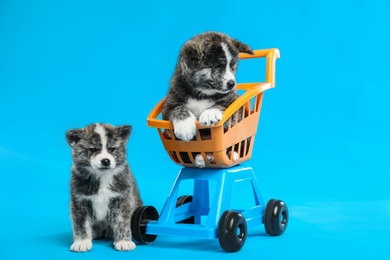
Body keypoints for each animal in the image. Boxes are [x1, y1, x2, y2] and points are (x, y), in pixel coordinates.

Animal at [65, 123, 142, 252]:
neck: (102, 177)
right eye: (93, 149)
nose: (106, 161)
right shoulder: (79, 201)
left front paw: (123, 241)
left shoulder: (122, 200)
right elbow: (81, 224)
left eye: (111, 148)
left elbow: (122, 222)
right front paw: (82, 242)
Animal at [161, 31, 253, 168]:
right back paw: (200, 158)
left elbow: (223, 106)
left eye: (232, 65)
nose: (232, 84)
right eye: (217, 66)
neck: (202, 94)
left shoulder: (233, 101)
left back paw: (233, 154)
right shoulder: (169, 104)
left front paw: (210, 113)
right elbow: (178, 109)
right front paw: (184, 125)